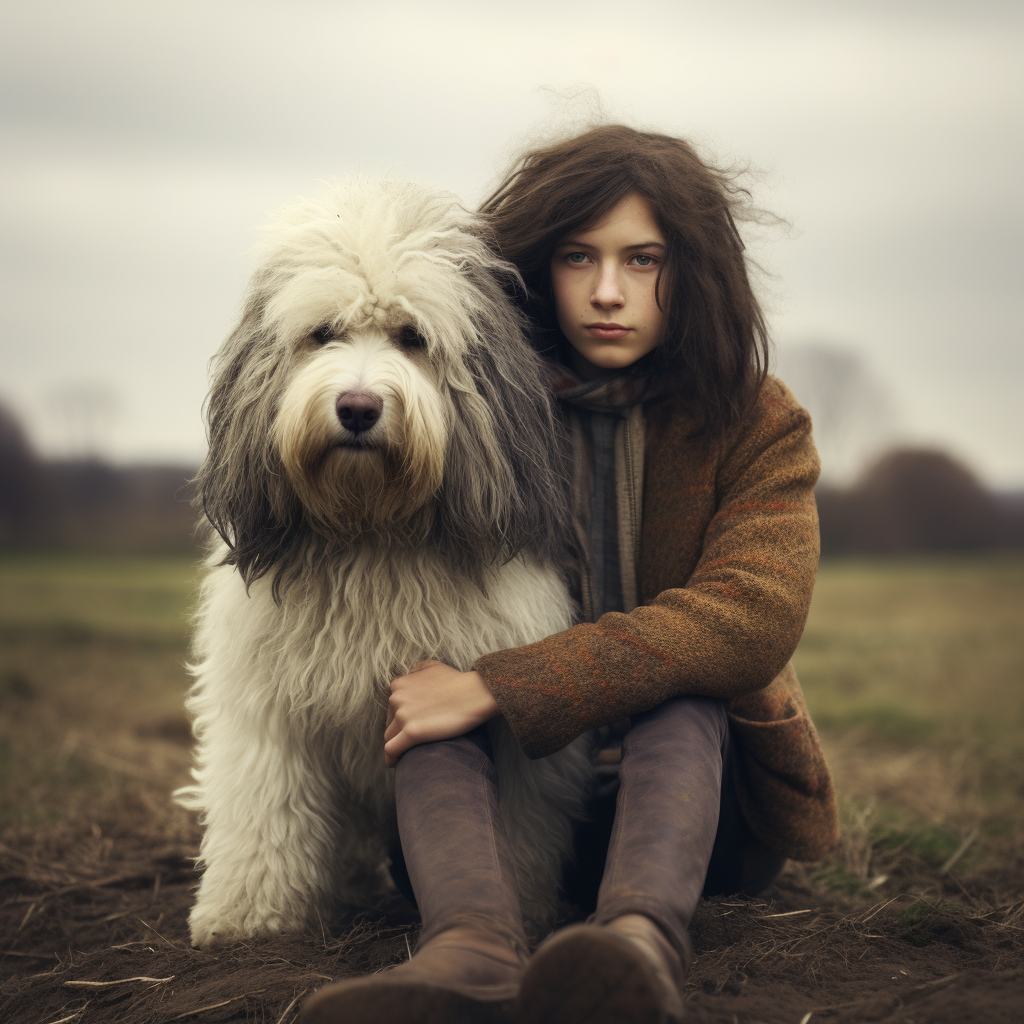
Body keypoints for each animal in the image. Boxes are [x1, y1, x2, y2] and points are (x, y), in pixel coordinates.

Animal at [176, 178, 593, 950]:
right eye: (323, 334)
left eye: (412, 338)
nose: (359, 408)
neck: (371, 530)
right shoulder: (266, 701)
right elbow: (264, 804)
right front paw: (249, 916)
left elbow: (518, 820)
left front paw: (521, 907)